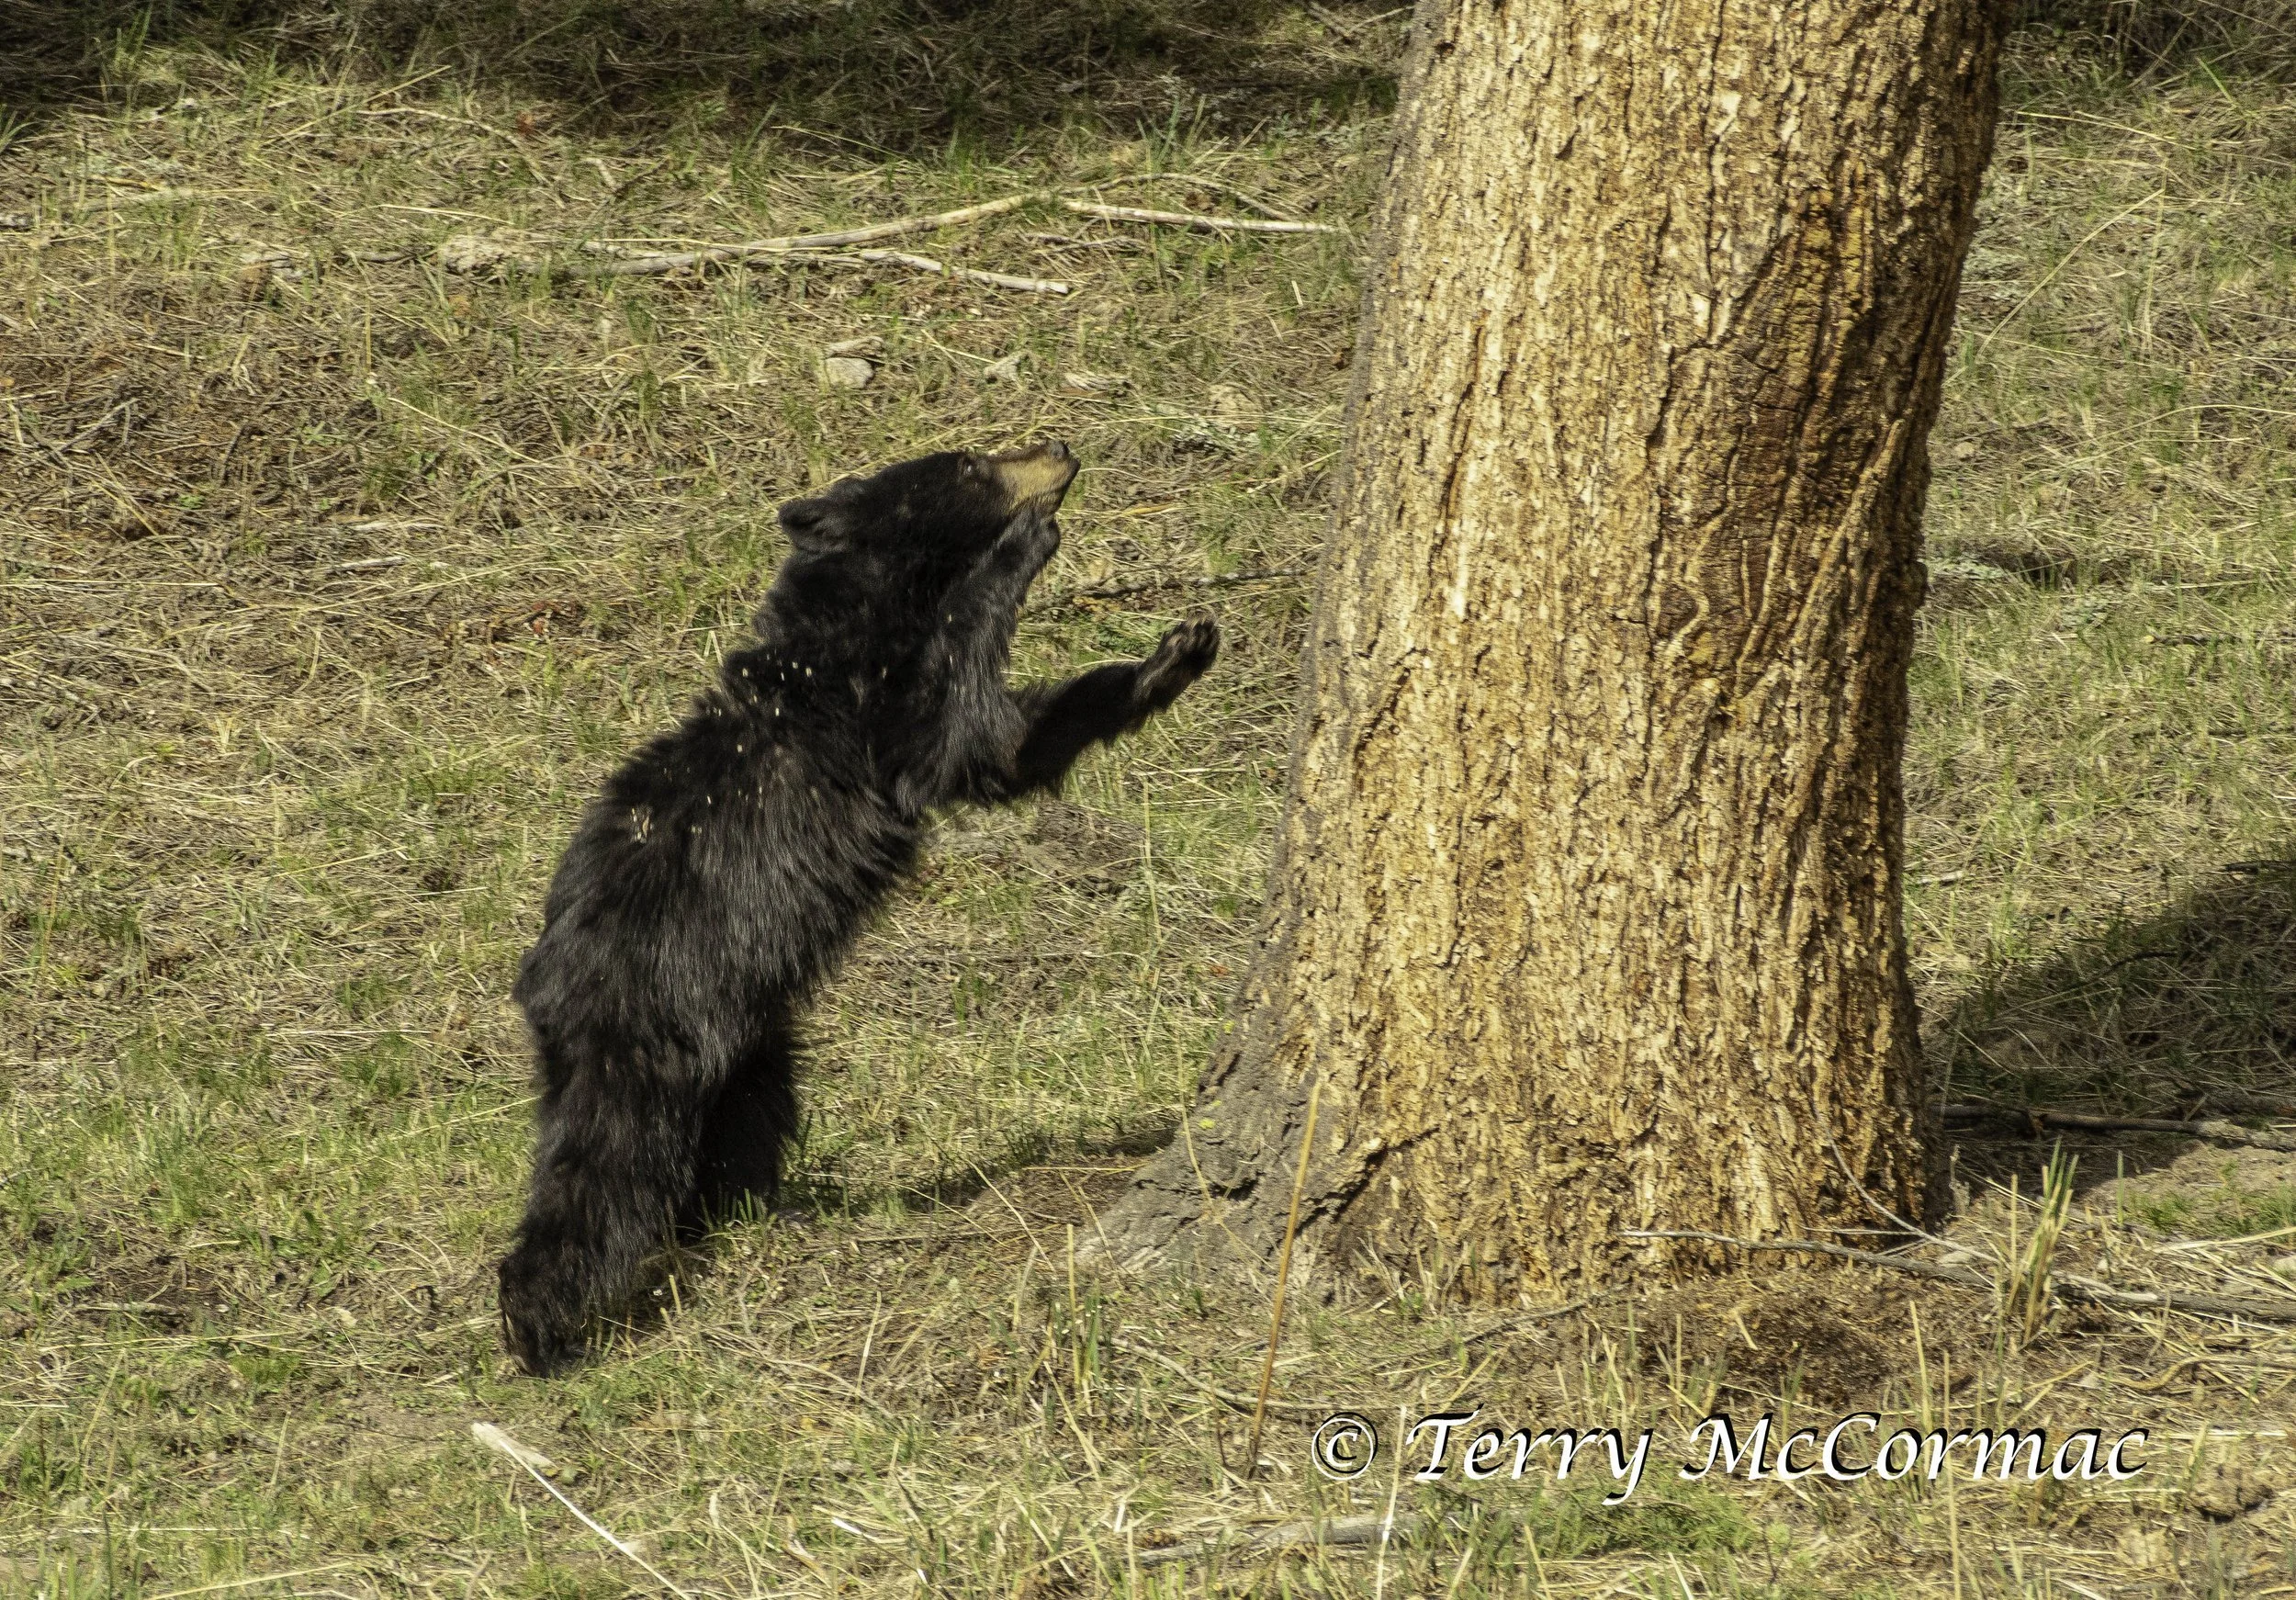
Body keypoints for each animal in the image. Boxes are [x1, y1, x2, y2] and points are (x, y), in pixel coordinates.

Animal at [497, 440, 1219, 1374]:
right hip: (647, 1028)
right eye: (971, 462)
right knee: (603, 1167)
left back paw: (752, 1215)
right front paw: (1026, 542)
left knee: (743, 1126)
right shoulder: (877, 710)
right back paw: (541, 1329)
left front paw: (1184, 648)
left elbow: (1020, 738)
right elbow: (971, 716)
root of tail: (543, 990)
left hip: (749, 1041)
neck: (859, 624)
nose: (1059, 449)